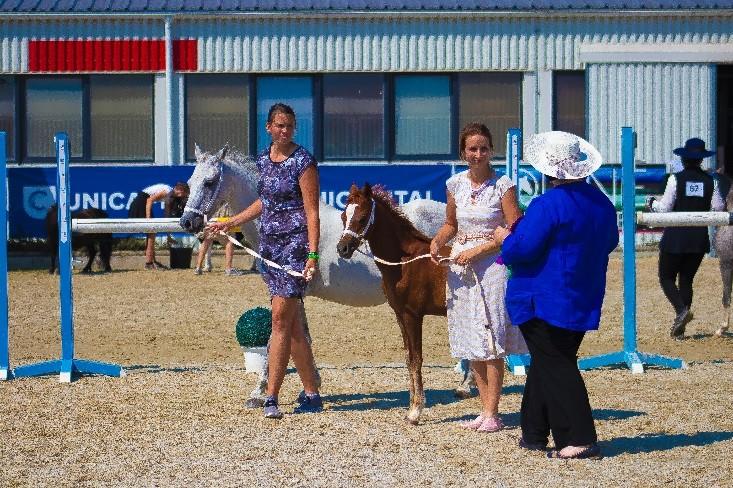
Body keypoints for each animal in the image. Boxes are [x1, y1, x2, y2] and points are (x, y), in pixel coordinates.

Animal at [334, 183, 448, 424]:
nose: (342, 249)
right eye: (343, 216)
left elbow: (416, 359)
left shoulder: (413, 316)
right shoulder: (400, 316)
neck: (404, 261)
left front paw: (415, 411)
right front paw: (411, 407)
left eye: (362, 218)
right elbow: (408, 359)